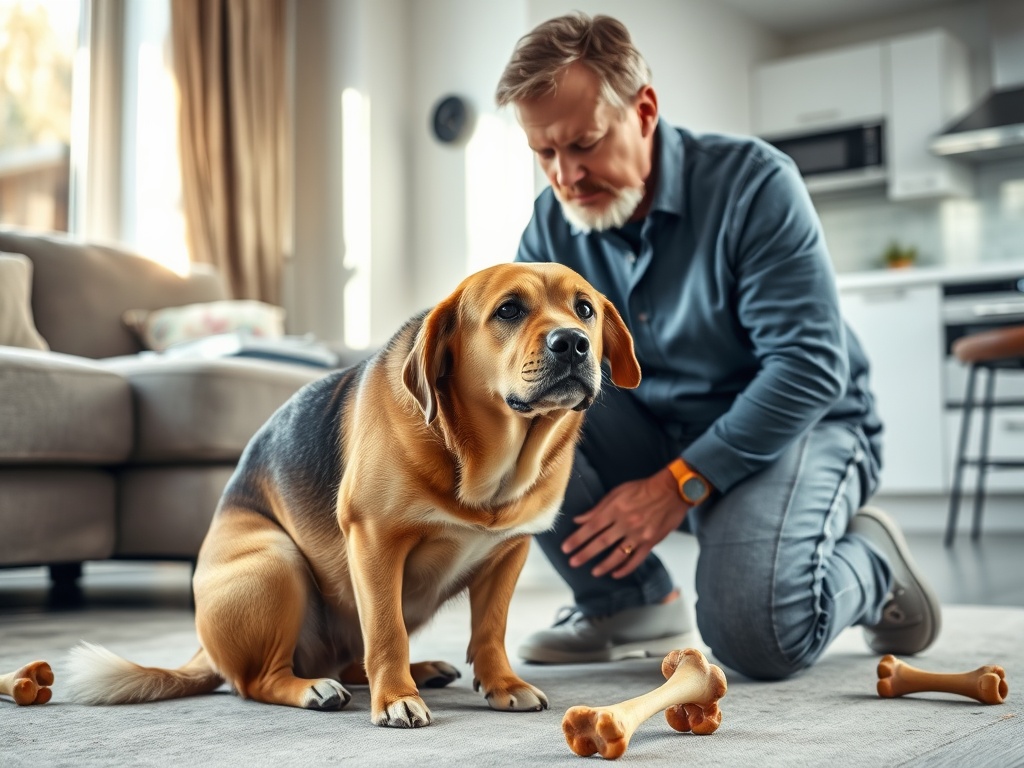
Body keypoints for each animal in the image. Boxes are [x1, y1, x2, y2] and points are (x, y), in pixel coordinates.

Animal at [66, 264, 638, 729]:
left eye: (584, 309)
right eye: (510, 310)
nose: (573, 342)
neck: (482, 463)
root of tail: (205, 651)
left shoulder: (509, 551)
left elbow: (490, 631)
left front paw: (502, 685)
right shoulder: (375, 541)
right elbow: (386, 633)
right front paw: (397, 699)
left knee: (346, 660)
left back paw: (420, 670)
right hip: (275, 562)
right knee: (260, 681)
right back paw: (315, 688)